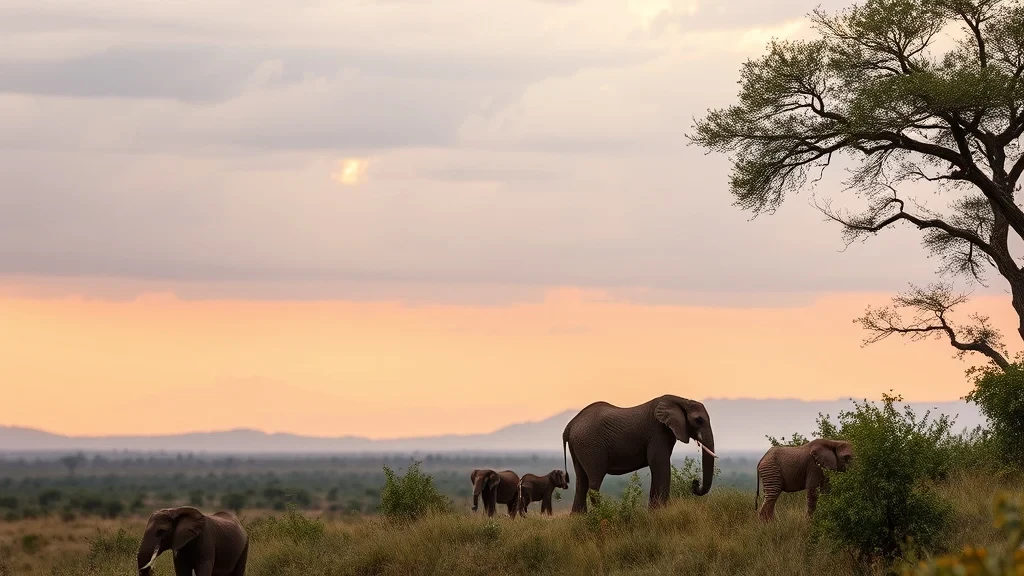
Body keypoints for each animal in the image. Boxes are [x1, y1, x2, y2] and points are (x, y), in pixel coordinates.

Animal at [562, 394, 717, 514]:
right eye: (699, 420)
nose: (695, 483)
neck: (681, 400)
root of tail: (570, 425)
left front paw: (653, 512)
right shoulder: (657, 432)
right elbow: (660, 466)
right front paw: (659, 512)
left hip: (580, 447)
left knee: (581, 482)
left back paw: (578, 518)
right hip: (591, 446)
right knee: (594, 481)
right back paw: (604, 513)